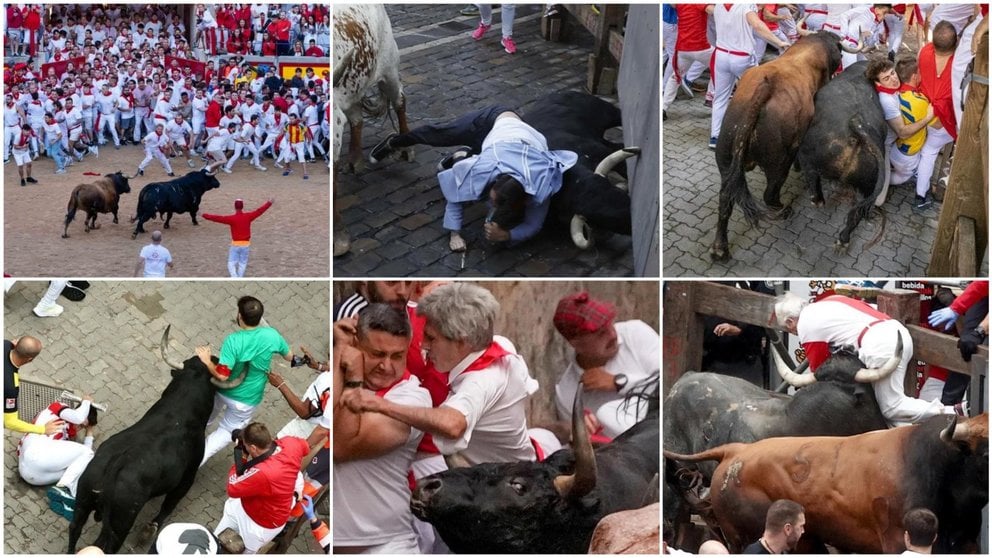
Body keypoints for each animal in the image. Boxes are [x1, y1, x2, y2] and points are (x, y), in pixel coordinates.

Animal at [668, 414, 984, 552]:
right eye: (984, 451)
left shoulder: (967, 541)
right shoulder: (896, 539)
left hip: (806, 539)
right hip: (741, 536)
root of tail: (736, 451)